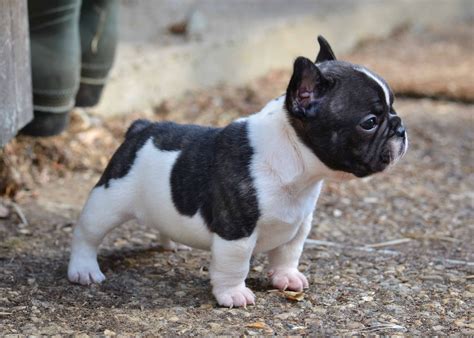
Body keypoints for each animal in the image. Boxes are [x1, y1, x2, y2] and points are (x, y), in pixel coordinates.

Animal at [69, 36, 408, 306]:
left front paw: (286, 277)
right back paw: (84, 269)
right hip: (109, 200)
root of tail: (141, 128)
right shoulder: (236, 232)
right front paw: (233, 294)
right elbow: (235, 265)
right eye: (370, 122)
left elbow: (288, 253)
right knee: (87, 233)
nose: (401, 128)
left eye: (393, 109)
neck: (296, 161)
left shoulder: (299, 224)